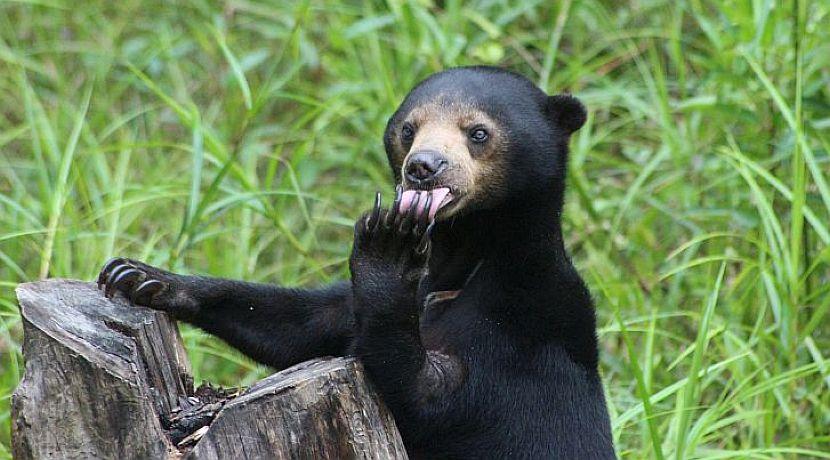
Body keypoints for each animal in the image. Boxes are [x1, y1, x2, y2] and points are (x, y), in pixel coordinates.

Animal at [97, 66, 615, 459]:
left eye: (478, 132)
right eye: (409, 129)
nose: (423, 167)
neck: (462, 259)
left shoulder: (525, 325)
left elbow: (432, 396)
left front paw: (388, 243)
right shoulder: (355, 310)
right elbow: (301, 323)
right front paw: (140, 277)